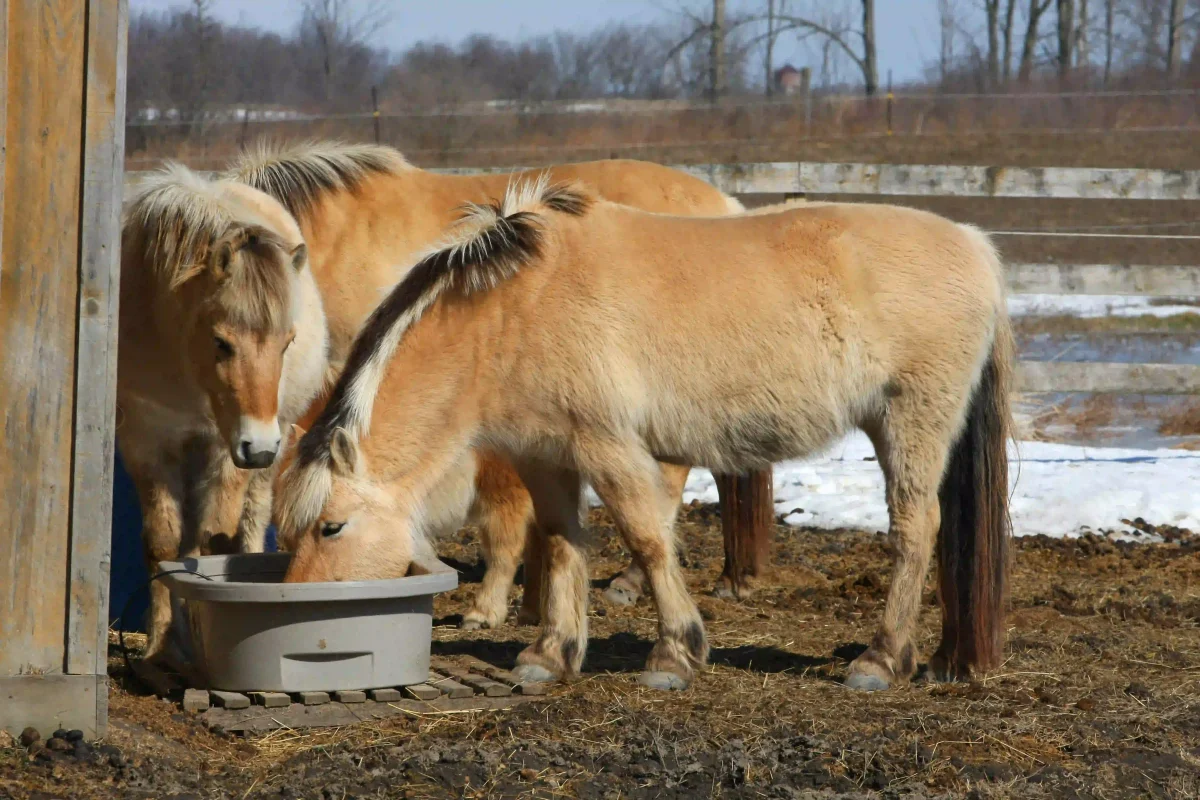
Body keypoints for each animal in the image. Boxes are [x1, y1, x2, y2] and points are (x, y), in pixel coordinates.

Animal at [117, 163, 329, 666]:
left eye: (287, 343)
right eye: (221, 342)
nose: (261, 445)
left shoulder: (224, 448)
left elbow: (216, 539)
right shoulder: (145, 441)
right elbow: (164, 542)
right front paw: (161, 644)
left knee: (246, 522)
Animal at [273, 177, 1013, 693]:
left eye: (331, 527)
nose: (302, 602)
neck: (512, 309)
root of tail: (976, 245)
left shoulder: (608, 446)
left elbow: (648, 538)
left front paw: (674, 654)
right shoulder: (546, 457)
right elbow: (562, 541)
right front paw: (551, 654)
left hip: (910, 422)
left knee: (915, 528)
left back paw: (879, 661)